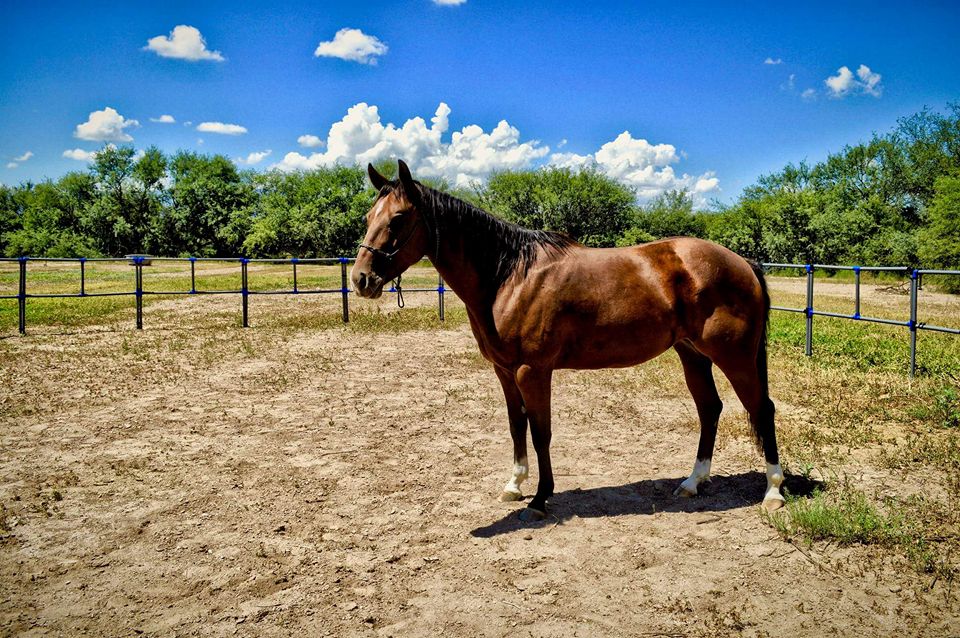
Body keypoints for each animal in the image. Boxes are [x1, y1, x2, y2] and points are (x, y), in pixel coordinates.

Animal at [348, 160, 784, 524]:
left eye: (398, 219)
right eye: (369, 217)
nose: (361, 279)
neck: (510, 276)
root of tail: (744, 263)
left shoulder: (533, 371)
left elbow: (541, 432)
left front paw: (541, 497)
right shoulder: (504, 371)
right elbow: (516, 425)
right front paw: (514, 485)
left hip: (735, 356)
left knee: (762, 408)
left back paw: (774, 492)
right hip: (692, 355)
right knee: (710, 409)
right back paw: (693, 482)